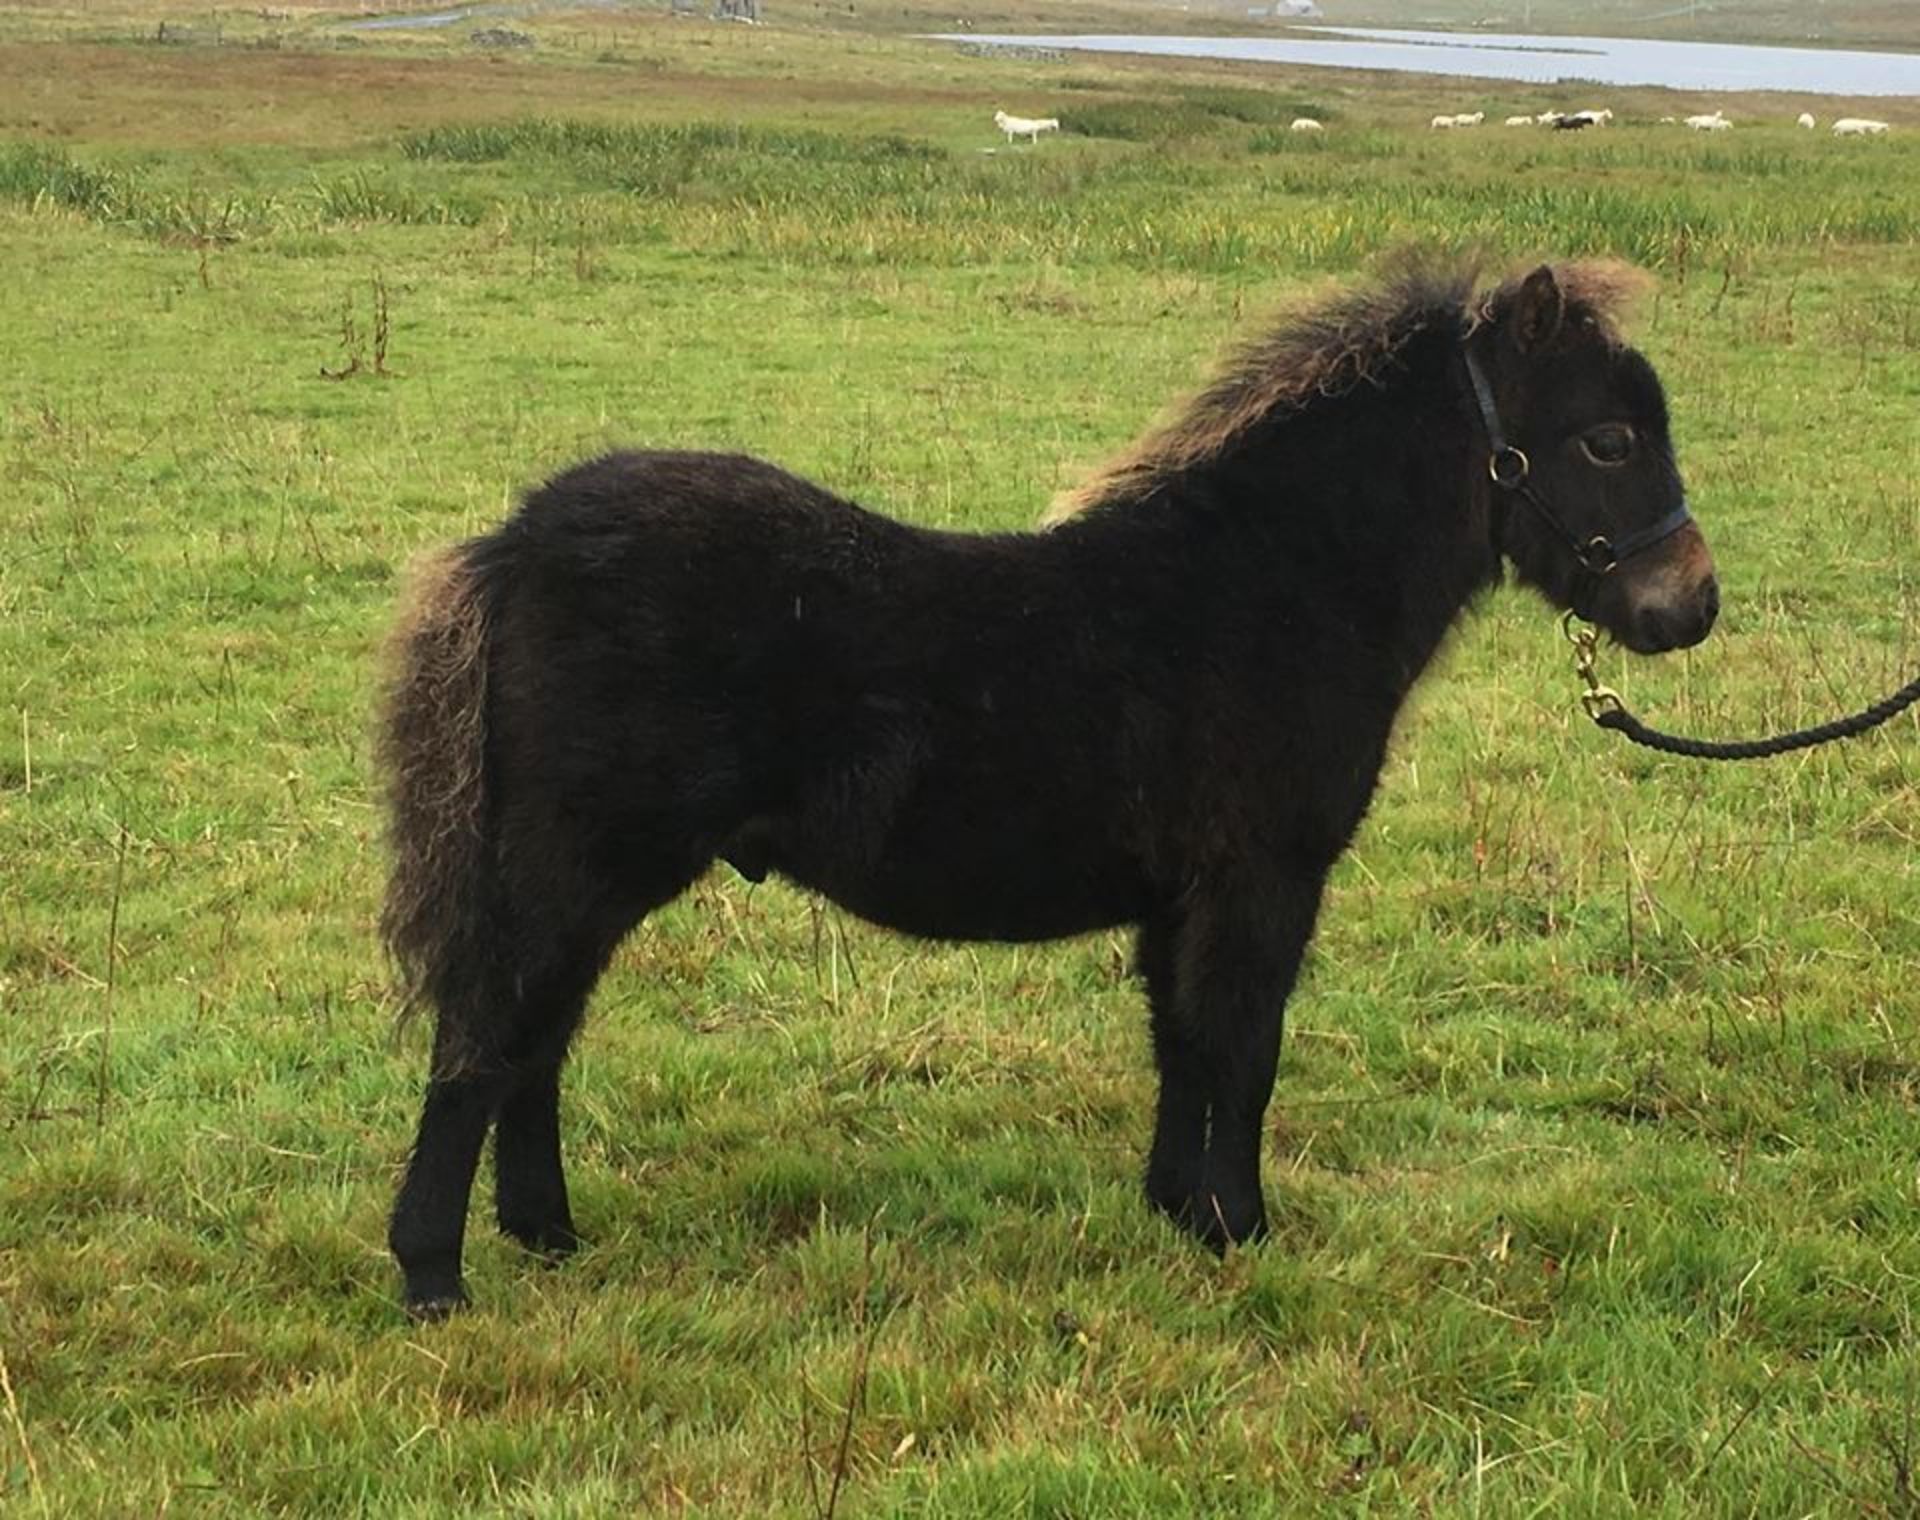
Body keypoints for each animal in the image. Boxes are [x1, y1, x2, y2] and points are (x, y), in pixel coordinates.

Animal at [374, 259, 1712, 1320]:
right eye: (1606, 439)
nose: (1692, 604)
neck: (1267, 588)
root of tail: (513, 544)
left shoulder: (1182, 892)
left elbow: (1182, 1042)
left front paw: (1178, 1212)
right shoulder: (1263, 878)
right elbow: (1244, 1045)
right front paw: (1244, 1228)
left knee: (536, 1040)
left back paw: (548, 1234)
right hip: (577, 863)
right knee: (488, 1034)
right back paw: (435, 1275)